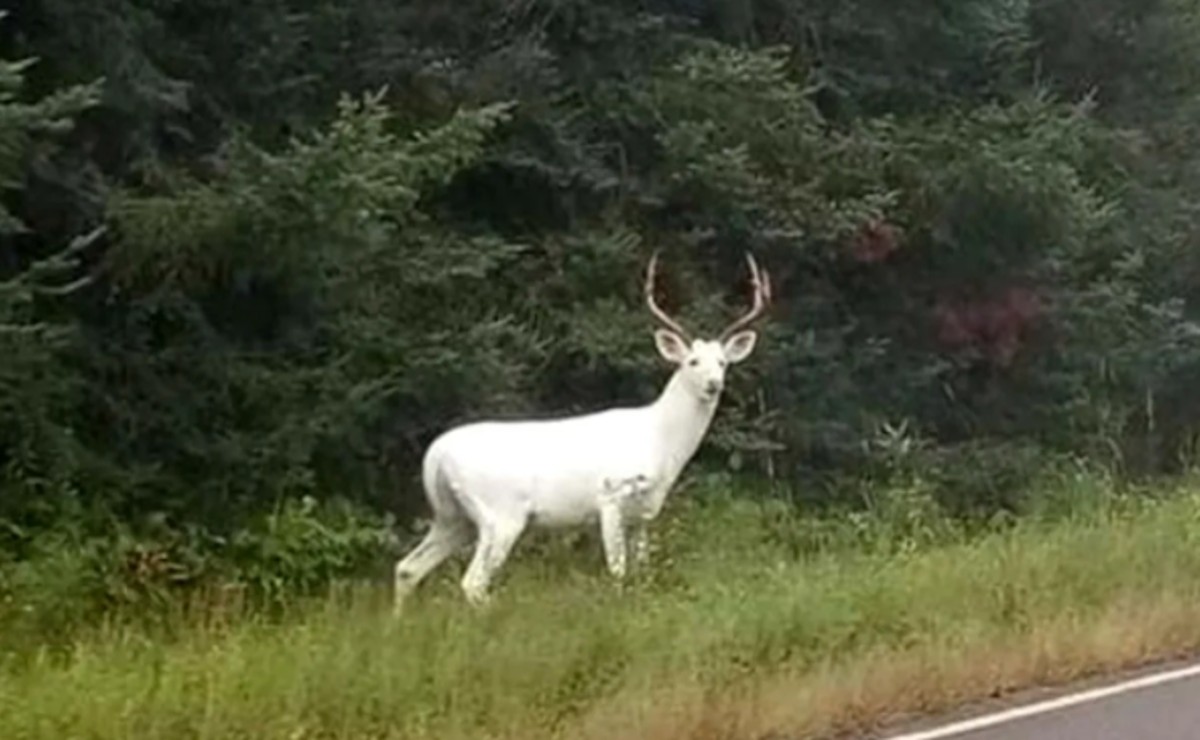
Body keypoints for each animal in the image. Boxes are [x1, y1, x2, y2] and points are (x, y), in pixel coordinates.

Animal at [388, 250, 772, 609]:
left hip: (452, 517)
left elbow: (642, 570)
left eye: (722, 362)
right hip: (499, 514)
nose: (713, 384)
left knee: (407, 567)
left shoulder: (643, 514)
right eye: (692, 361)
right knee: (471, 583)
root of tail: (435, 456)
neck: (660, 442)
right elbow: (617, 571)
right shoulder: (611, 496)